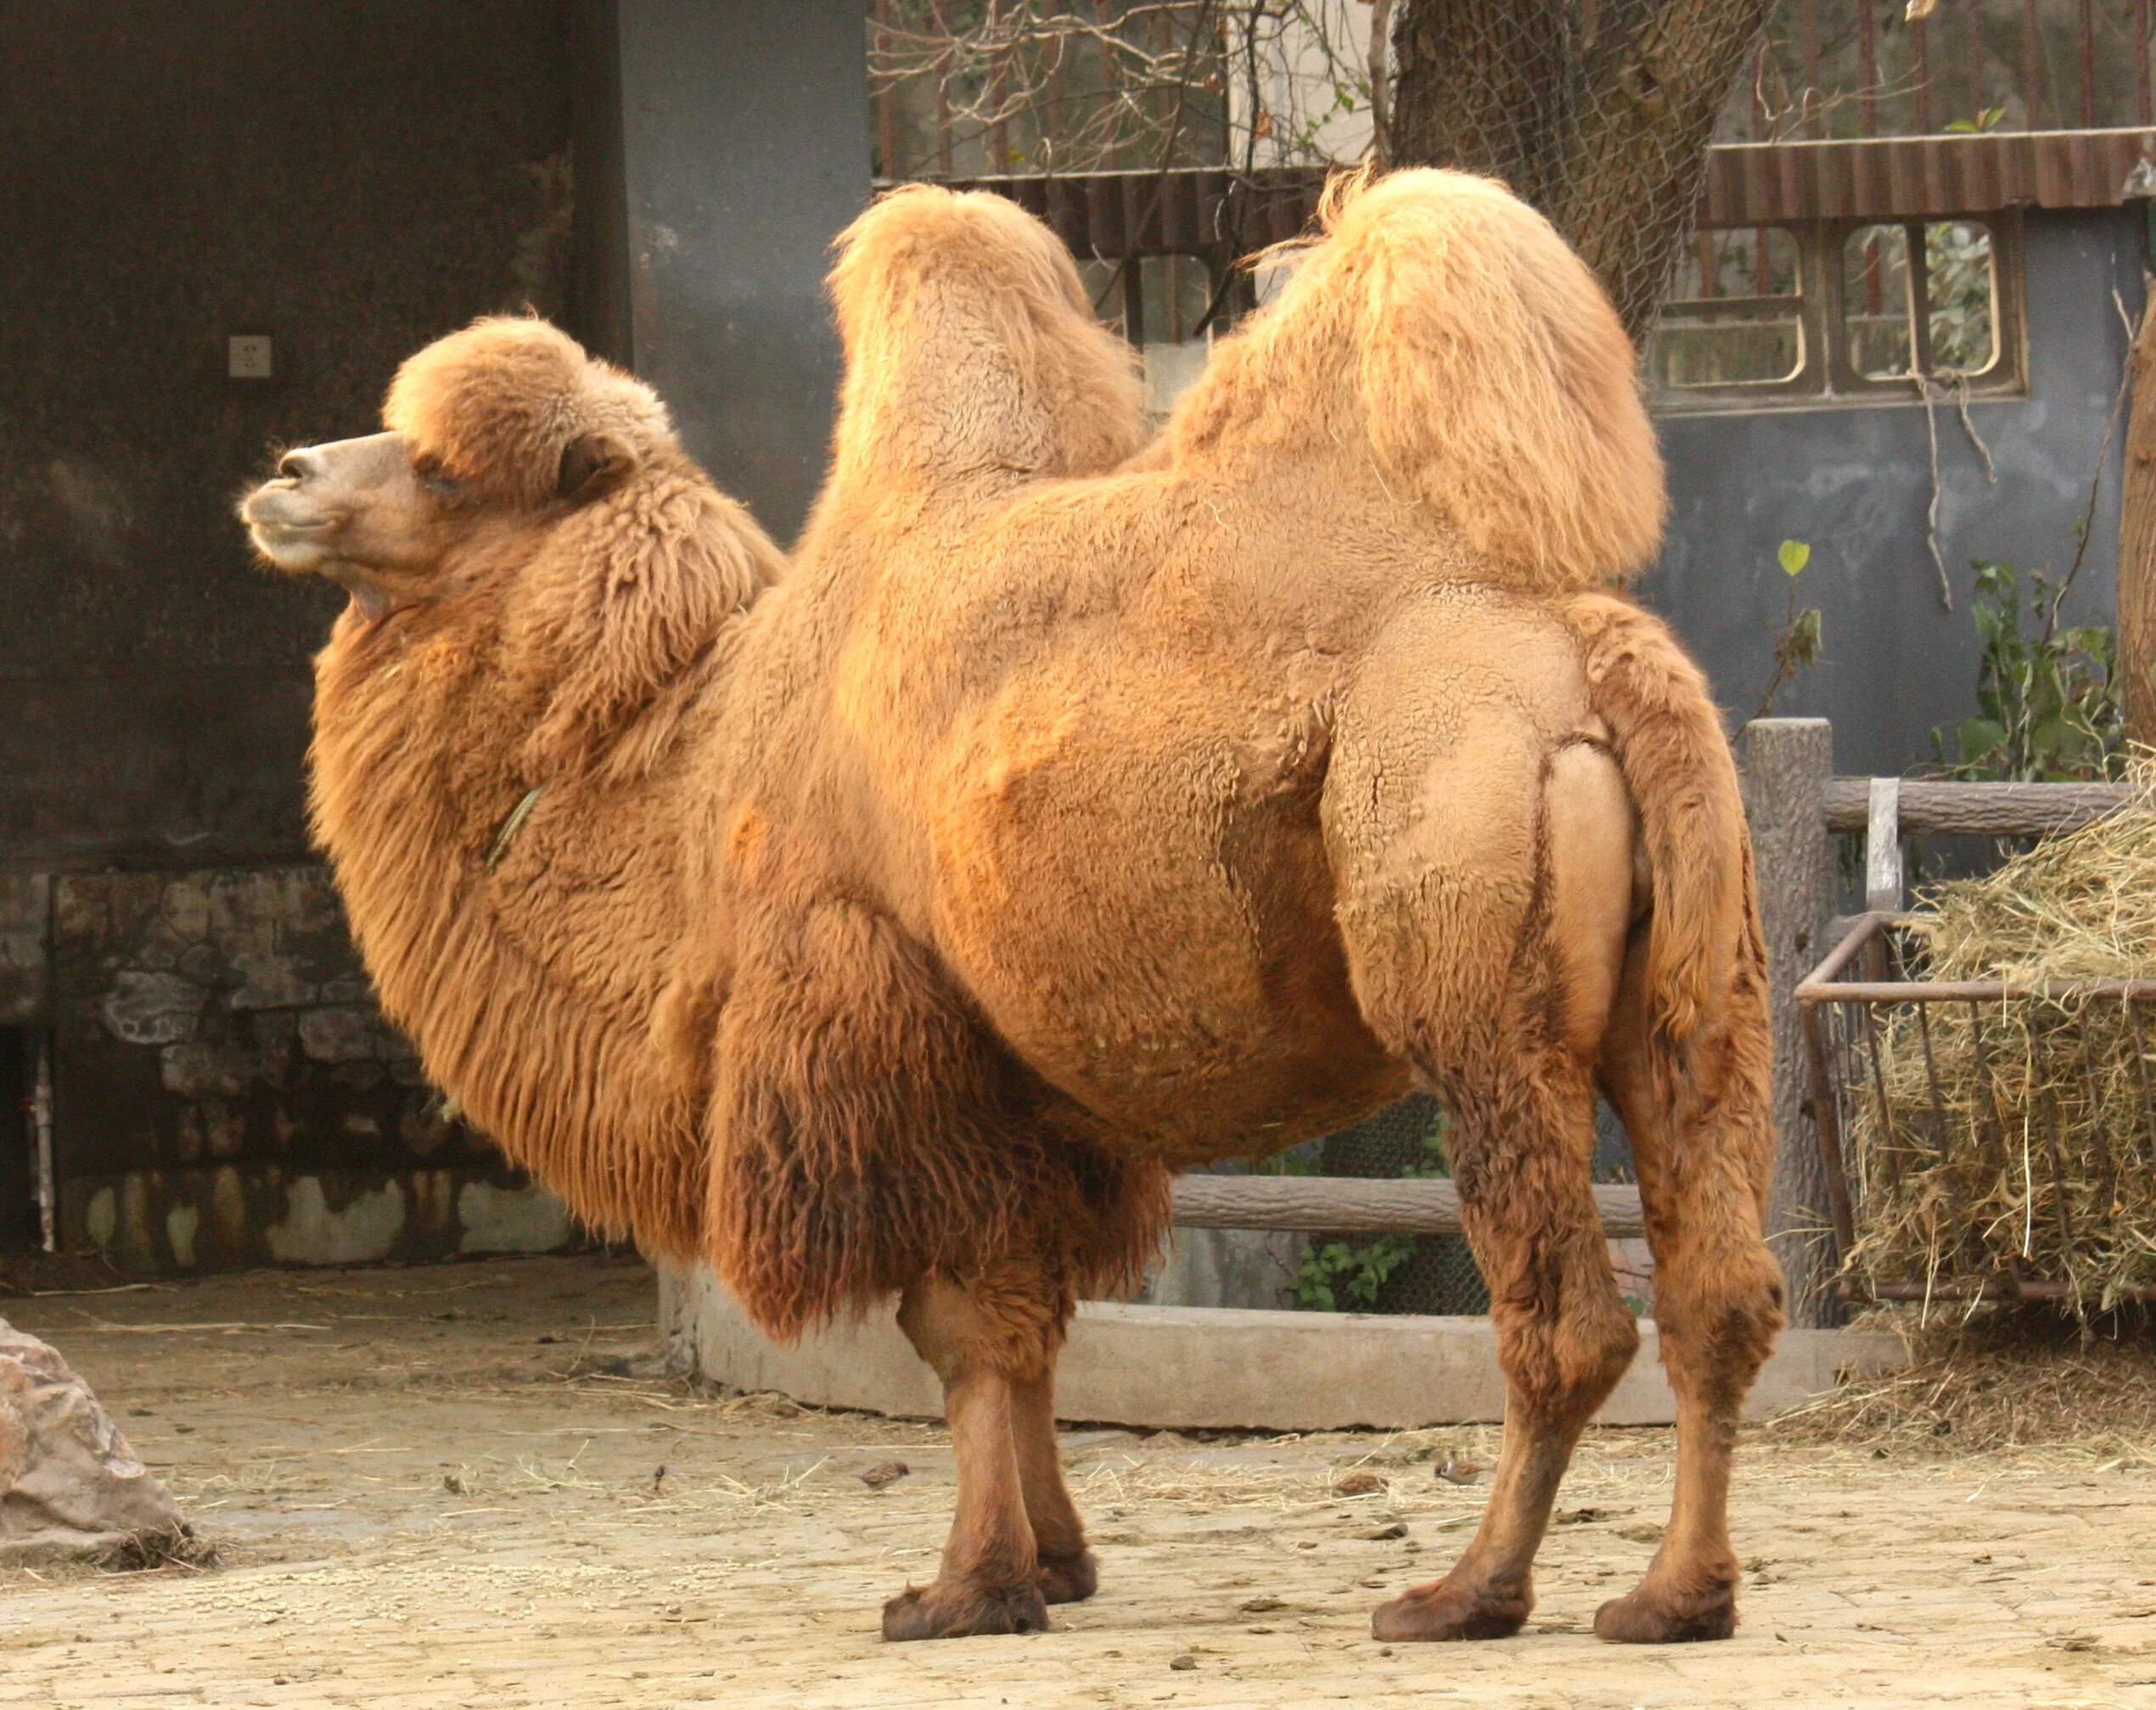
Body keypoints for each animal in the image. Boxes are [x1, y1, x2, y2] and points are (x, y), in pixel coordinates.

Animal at [240, 167, 1784, 1652]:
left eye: (443, 470)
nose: (286, 475)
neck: (688, 780)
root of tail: (1592, 655)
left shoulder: (885, 1030)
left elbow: (961, 1327)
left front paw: (961, 1588)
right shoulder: (1031, 1086)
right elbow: (1033, 1327)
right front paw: (1056, 1558)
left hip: (1470, 969)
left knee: (1567, 1316)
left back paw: (1467, 1594)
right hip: (1696, 1002)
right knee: (1719, 1291)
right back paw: (1673, 1597)